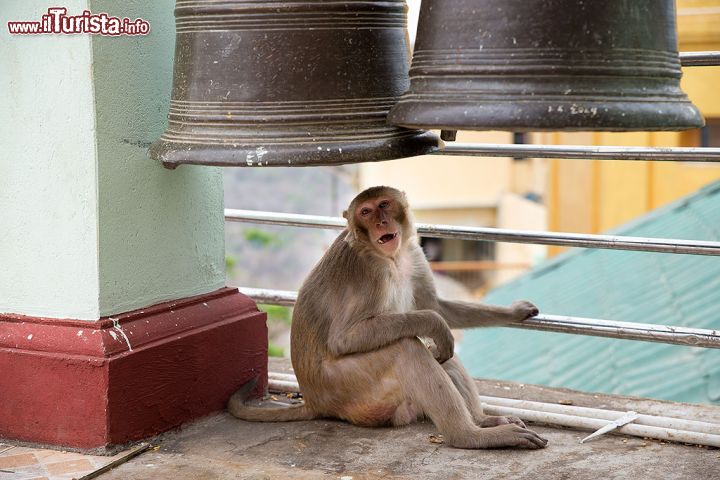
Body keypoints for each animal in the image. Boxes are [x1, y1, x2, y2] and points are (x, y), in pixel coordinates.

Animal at [229, 186, 544, 448]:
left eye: (384, 204)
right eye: (365, 212)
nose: (380, 222)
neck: (391, 257)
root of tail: (315, 402)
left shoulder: (414, 253)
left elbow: (438, 307)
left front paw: (515, 311)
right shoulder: (369, 272)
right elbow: (345, 338)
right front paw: (435, 324)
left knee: (439, 354)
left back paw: (483, 421)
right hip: (349, 389)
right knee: (407, 348)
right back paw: (470, 436)